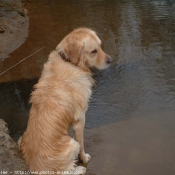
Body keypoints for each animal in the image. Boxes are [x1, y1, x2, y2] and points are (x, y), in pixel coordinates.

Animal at [19, 28, 112, 174]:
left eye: (100, 46)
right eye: (93, 51)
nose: (110, 60)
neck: (69, 62)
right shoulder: (81, 118)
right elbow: (81, 143)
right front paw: (84, 158)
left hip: (21, 138)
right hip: (71, 145)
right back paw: (80, 169)